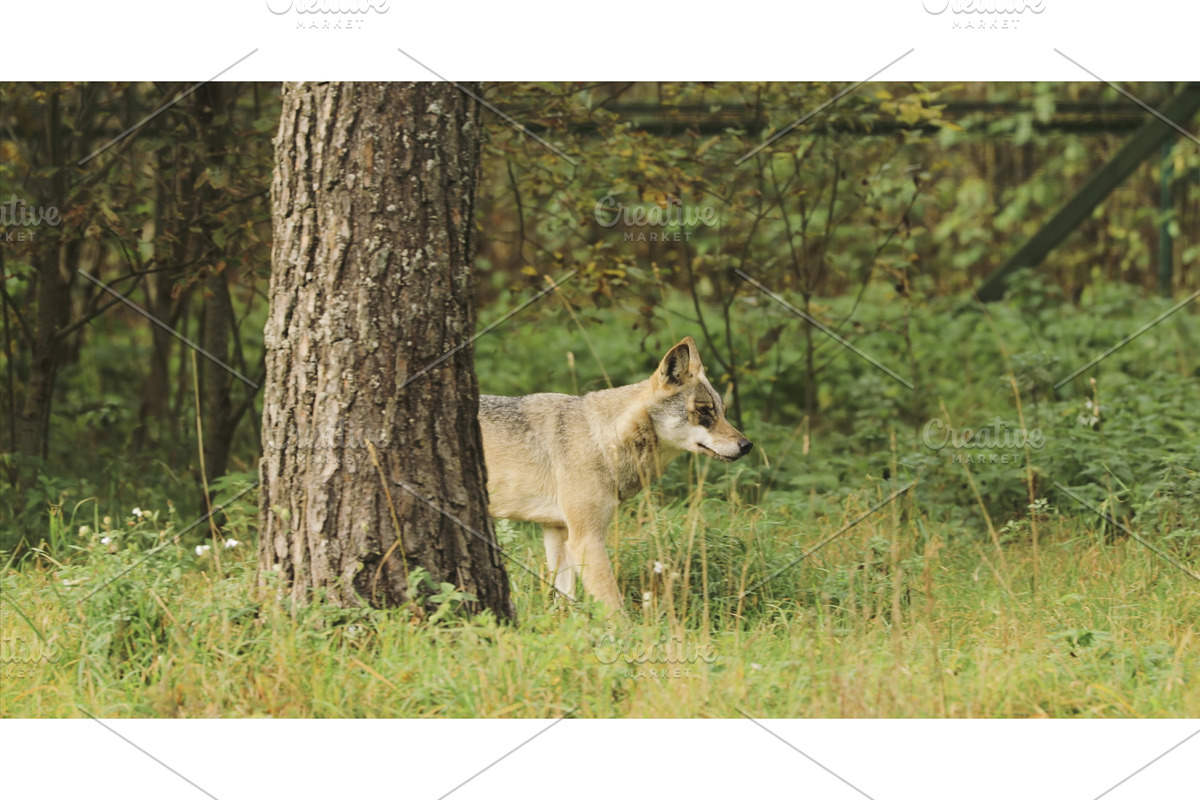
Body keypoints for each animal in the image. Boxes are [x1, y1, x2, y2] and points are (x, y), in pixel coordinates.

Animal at [479, 336, 753, 612]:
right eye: (704, 411)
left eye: (723, 413)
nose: (747, 445)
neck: (601, 438)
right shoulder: (586, 539)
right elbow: (614, 606)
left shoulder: (557, 533)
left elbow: (566, 601)